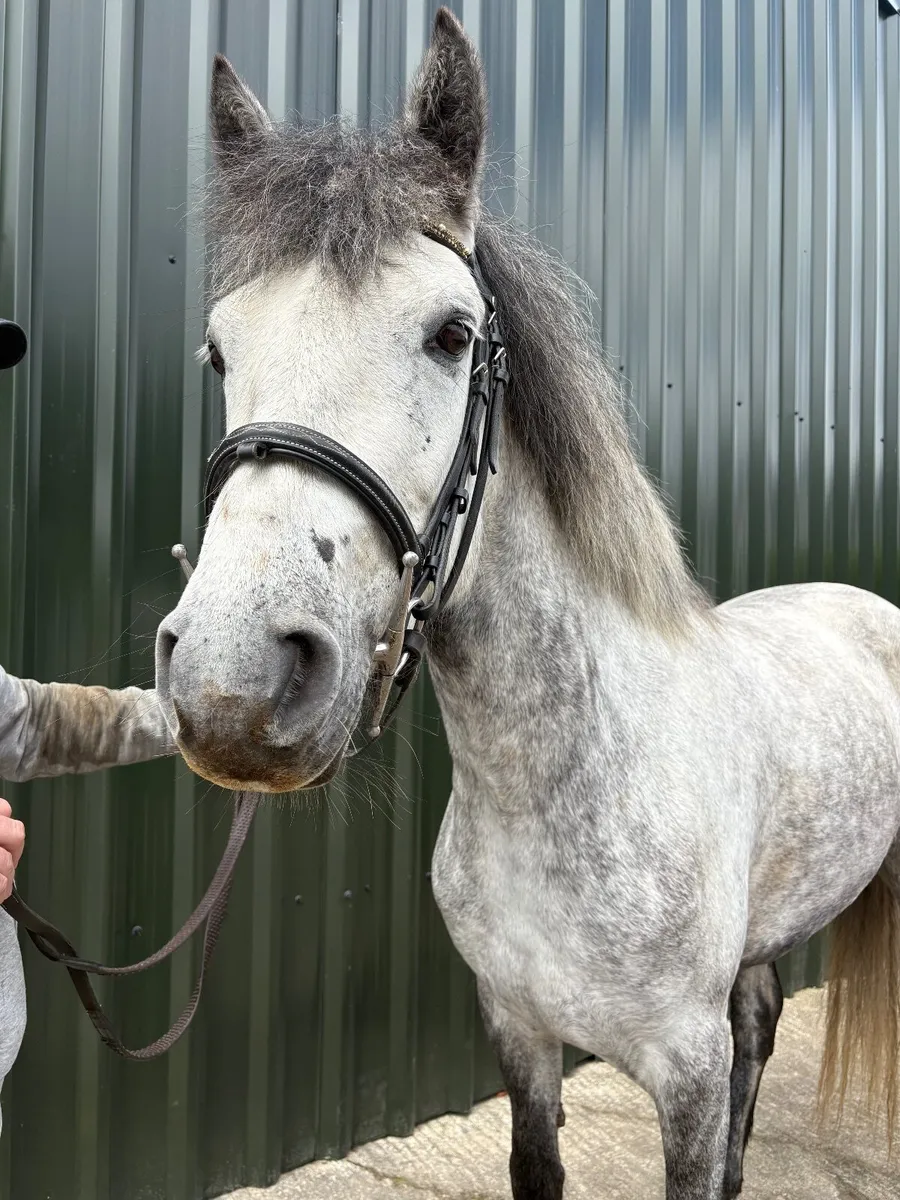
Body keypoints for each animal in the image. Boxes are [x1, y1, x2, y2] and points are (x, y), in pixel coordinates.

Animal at [155, 10, 900, 1198]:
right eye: (221, 347)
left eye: (452, 334)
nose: (234, 686)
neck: (564, 782)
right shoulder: (517, 1031)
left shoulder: (683, 1075)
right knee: (762, 1014)